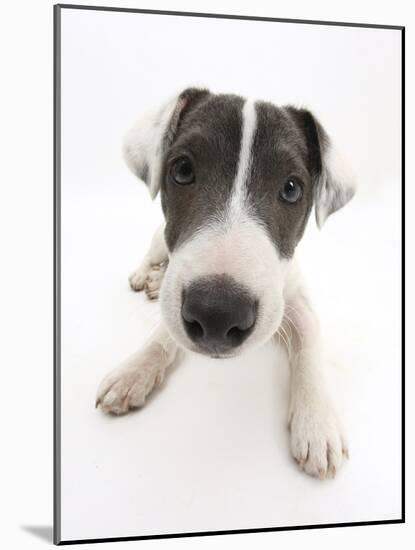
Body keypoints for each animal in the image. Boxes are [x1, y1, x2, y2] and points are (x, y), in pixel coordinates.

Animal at [96, 88, 356, 480]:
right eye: (183, 170)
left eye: (292, 189)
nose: (217, 315)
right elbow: (161, 335)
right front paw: (134, 370)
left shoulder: (295, 298)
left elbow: (309, 345)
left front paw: (317, 421)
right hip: (160, 239)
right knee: (154, 251)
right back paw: (147, 275)